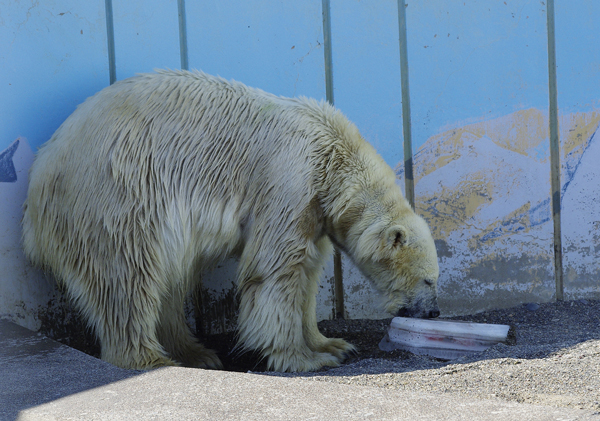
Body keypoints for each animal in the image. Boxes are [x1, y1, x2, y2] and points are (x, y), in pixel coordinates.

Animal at [22, 69, 440, 370]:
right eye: (428, 279)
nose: (434, 311)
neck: (335, 156)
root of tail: (40, 173)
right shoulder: (290, 180)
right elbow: (276, 270)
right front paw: (303, 358)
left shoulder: (316, 209)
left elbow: (308, 274)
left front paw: (333, 343)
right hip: (117, 196)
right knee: (128, 274)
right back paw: (151, 358)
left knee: (168, 277)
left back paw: (196, 352)